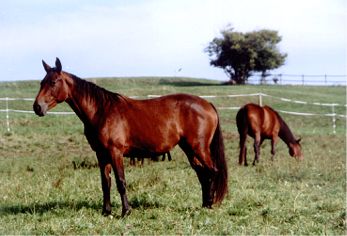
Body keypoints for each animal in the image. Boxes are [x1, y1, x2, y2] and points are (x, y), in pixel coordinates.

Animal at [32, 58, 228, 217]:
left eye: (54, 82)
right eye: (41, 82)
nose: (37, 107)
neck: (102, 111)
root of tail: (207, 104)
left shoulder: (115, 152)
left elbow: (120, 182)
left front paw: (126, 211)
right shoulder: (101, 155)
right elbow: (105, 183)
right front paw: (106, 212)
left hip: (199, 148)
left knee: (212, 171)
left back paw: (210, 204)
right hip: (189, 149)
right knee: (202, 173)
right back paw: (205, 204)